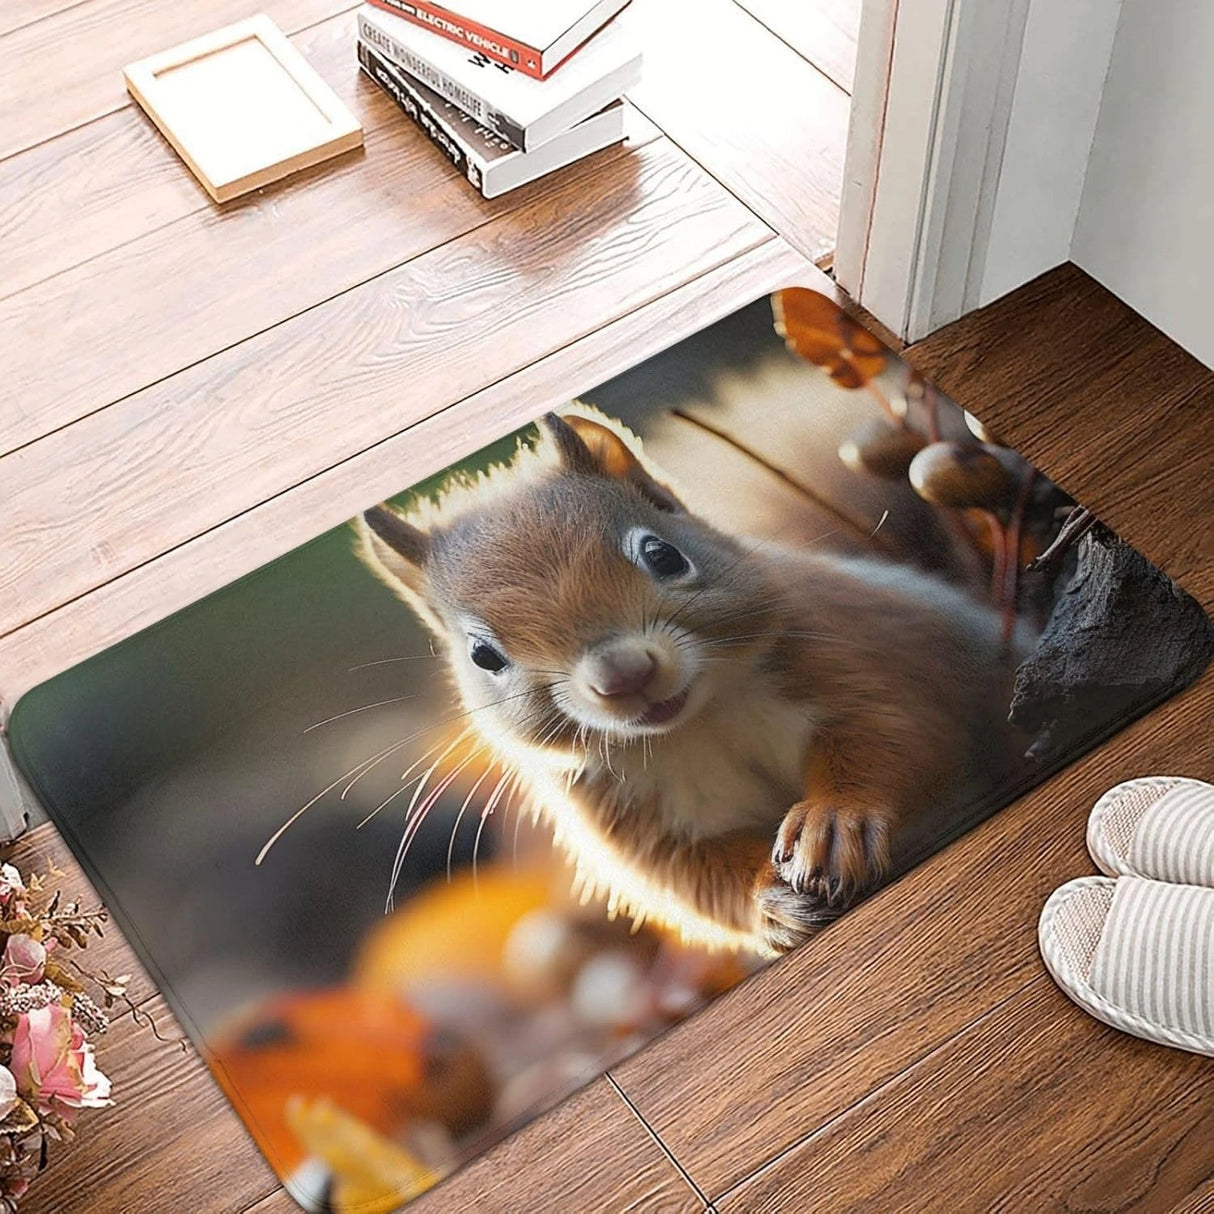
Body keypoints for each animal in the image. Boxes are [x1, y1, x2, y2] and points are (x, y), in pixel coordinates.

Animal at [357, 405, 1027, 957]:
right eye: (482, 655)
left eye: (663, 555)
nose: (624, 675)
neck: (698, 722)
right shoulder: (632, 816)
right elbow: (697, 876)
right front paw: (768, 900)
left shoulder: (845, 658)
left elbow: (893, 733)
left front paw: (836, 822)